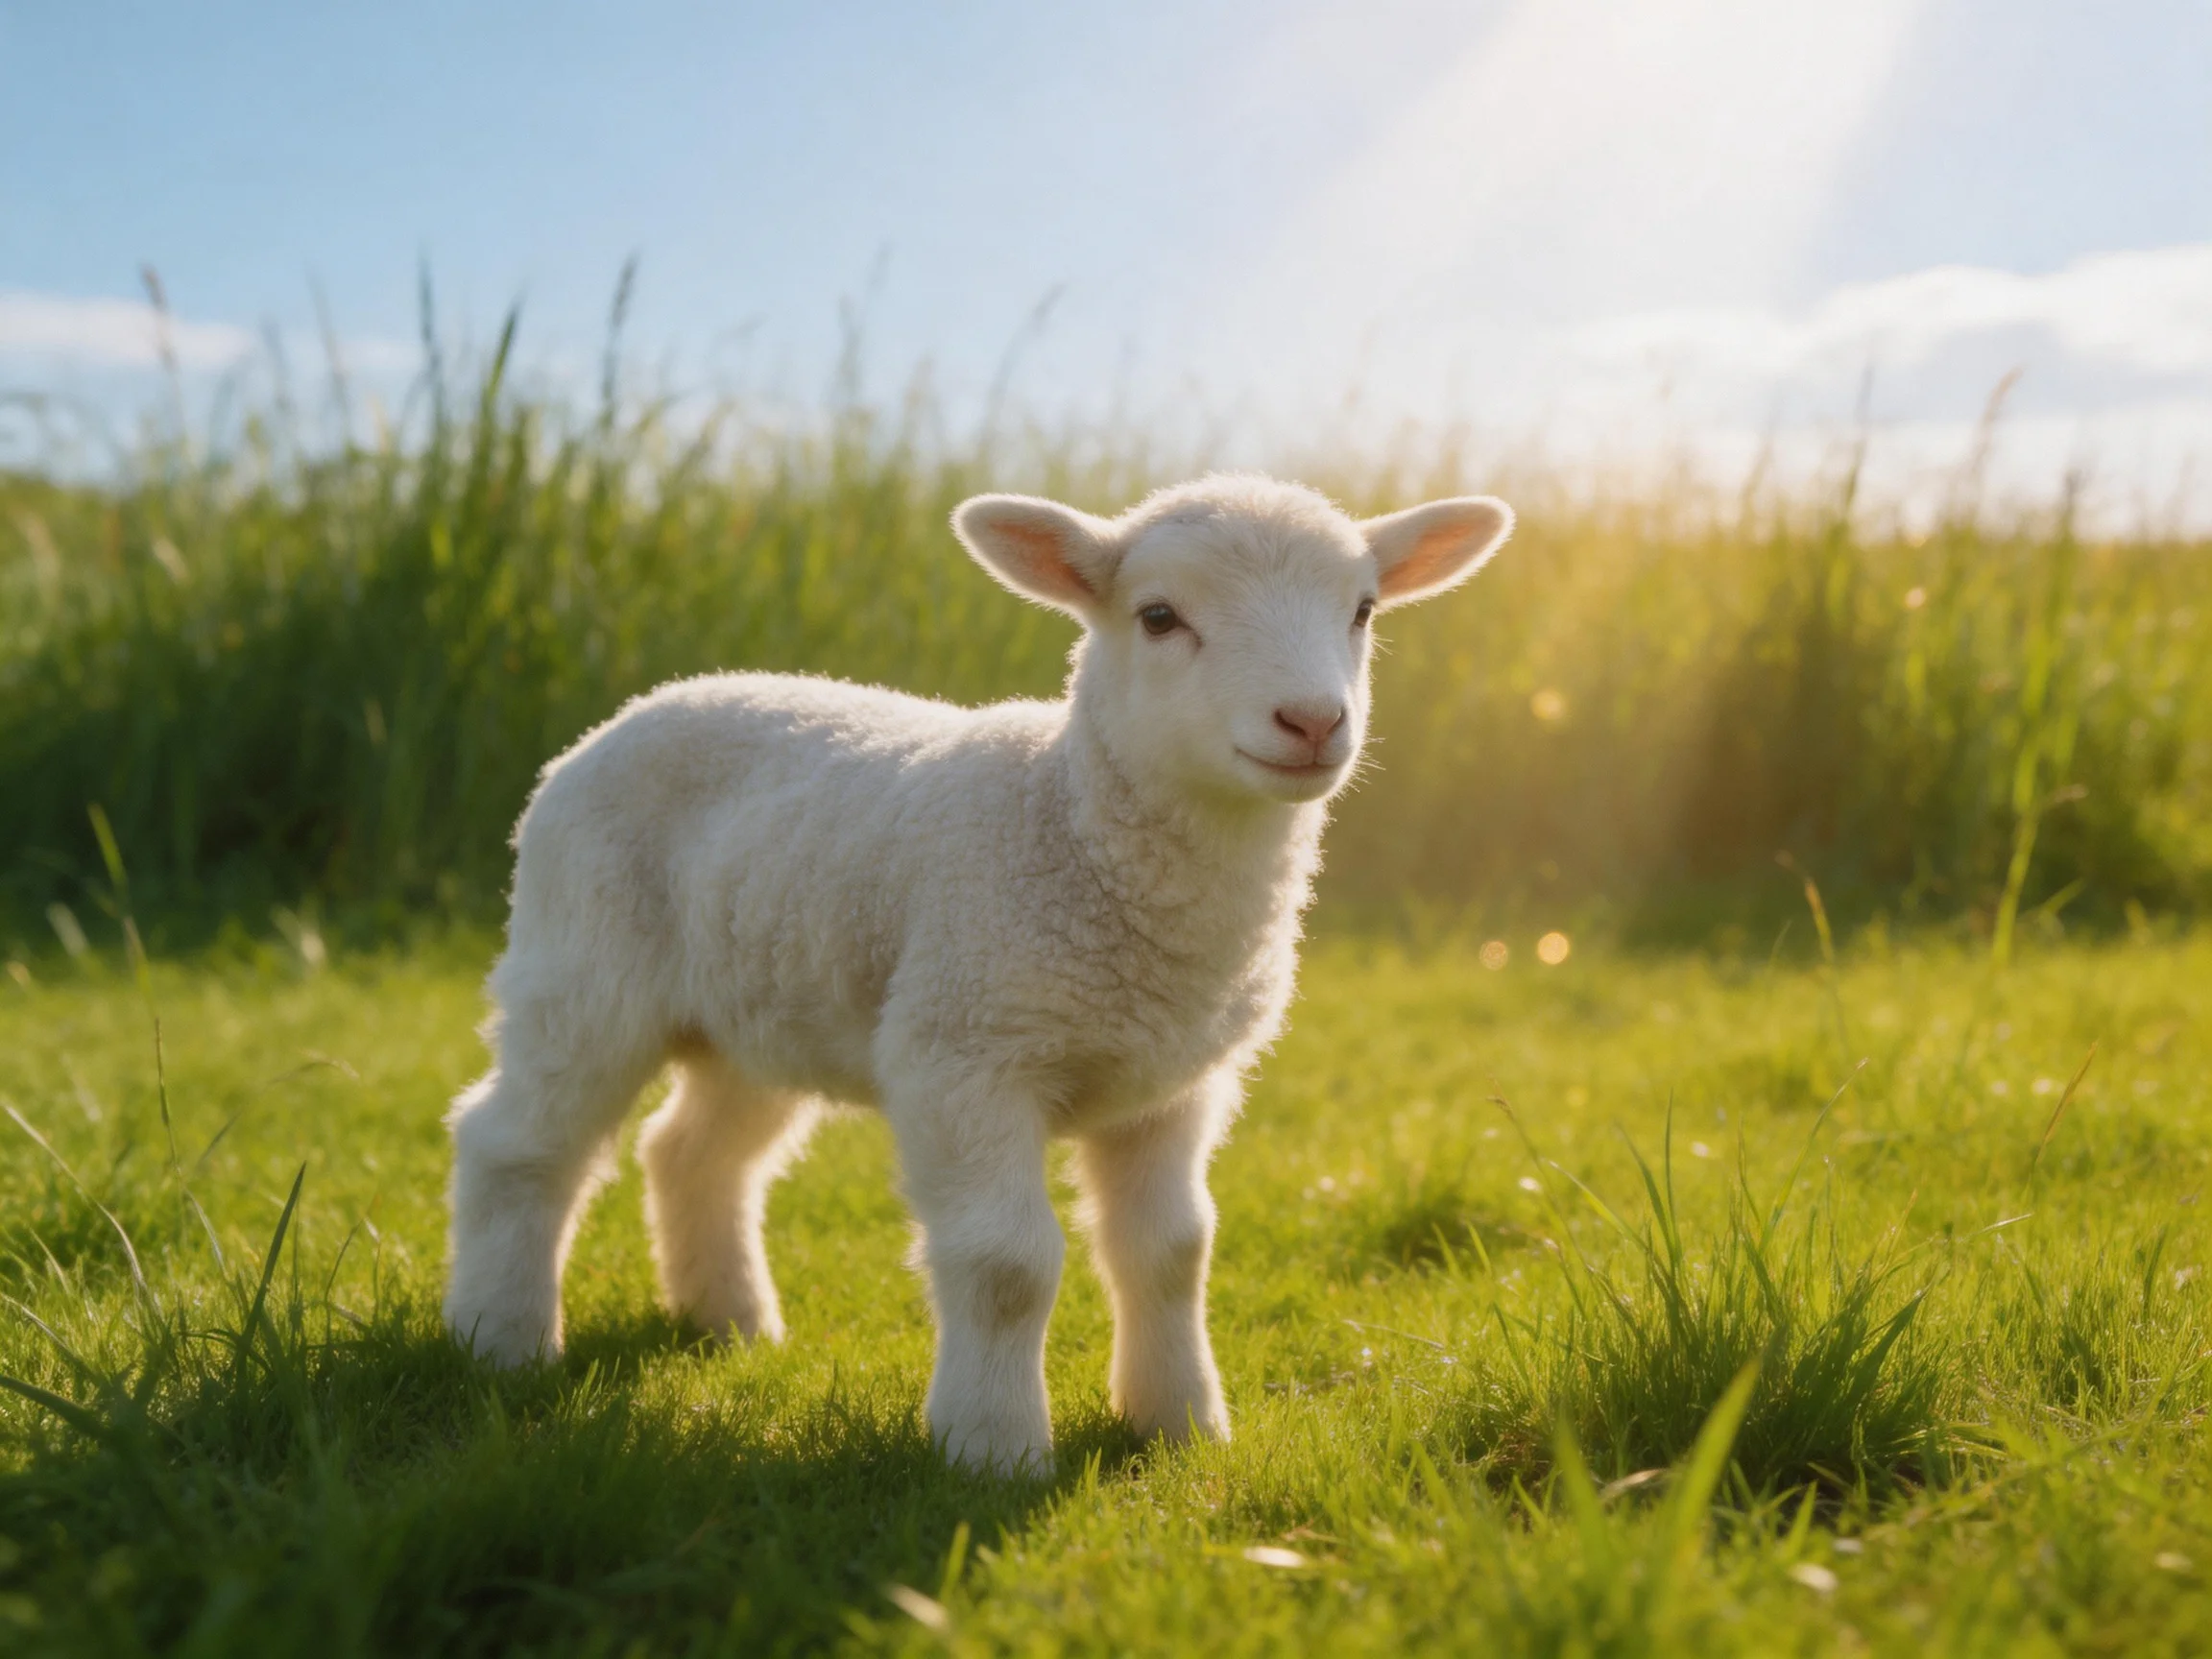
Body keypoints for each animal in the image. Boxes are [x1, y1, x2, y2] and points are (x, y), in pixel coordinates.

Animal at [442, 473, 1514, 1471]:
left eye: (1363, 610)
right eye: (1159, 617)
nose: (1312, 721)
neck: (1070, 822)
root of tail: (647, 703)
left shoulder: (1173, 1085)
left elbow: (1172, 1253)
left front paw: (1180, 1426)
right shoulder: (965, 1051)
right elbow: (1007, 1264)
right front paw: (993, 1450)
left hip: (762, 1007)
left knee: (695, 1153)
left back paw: (731, 1322)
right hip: (582, 963)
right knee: (517, 1143)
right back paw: (501, 1338)